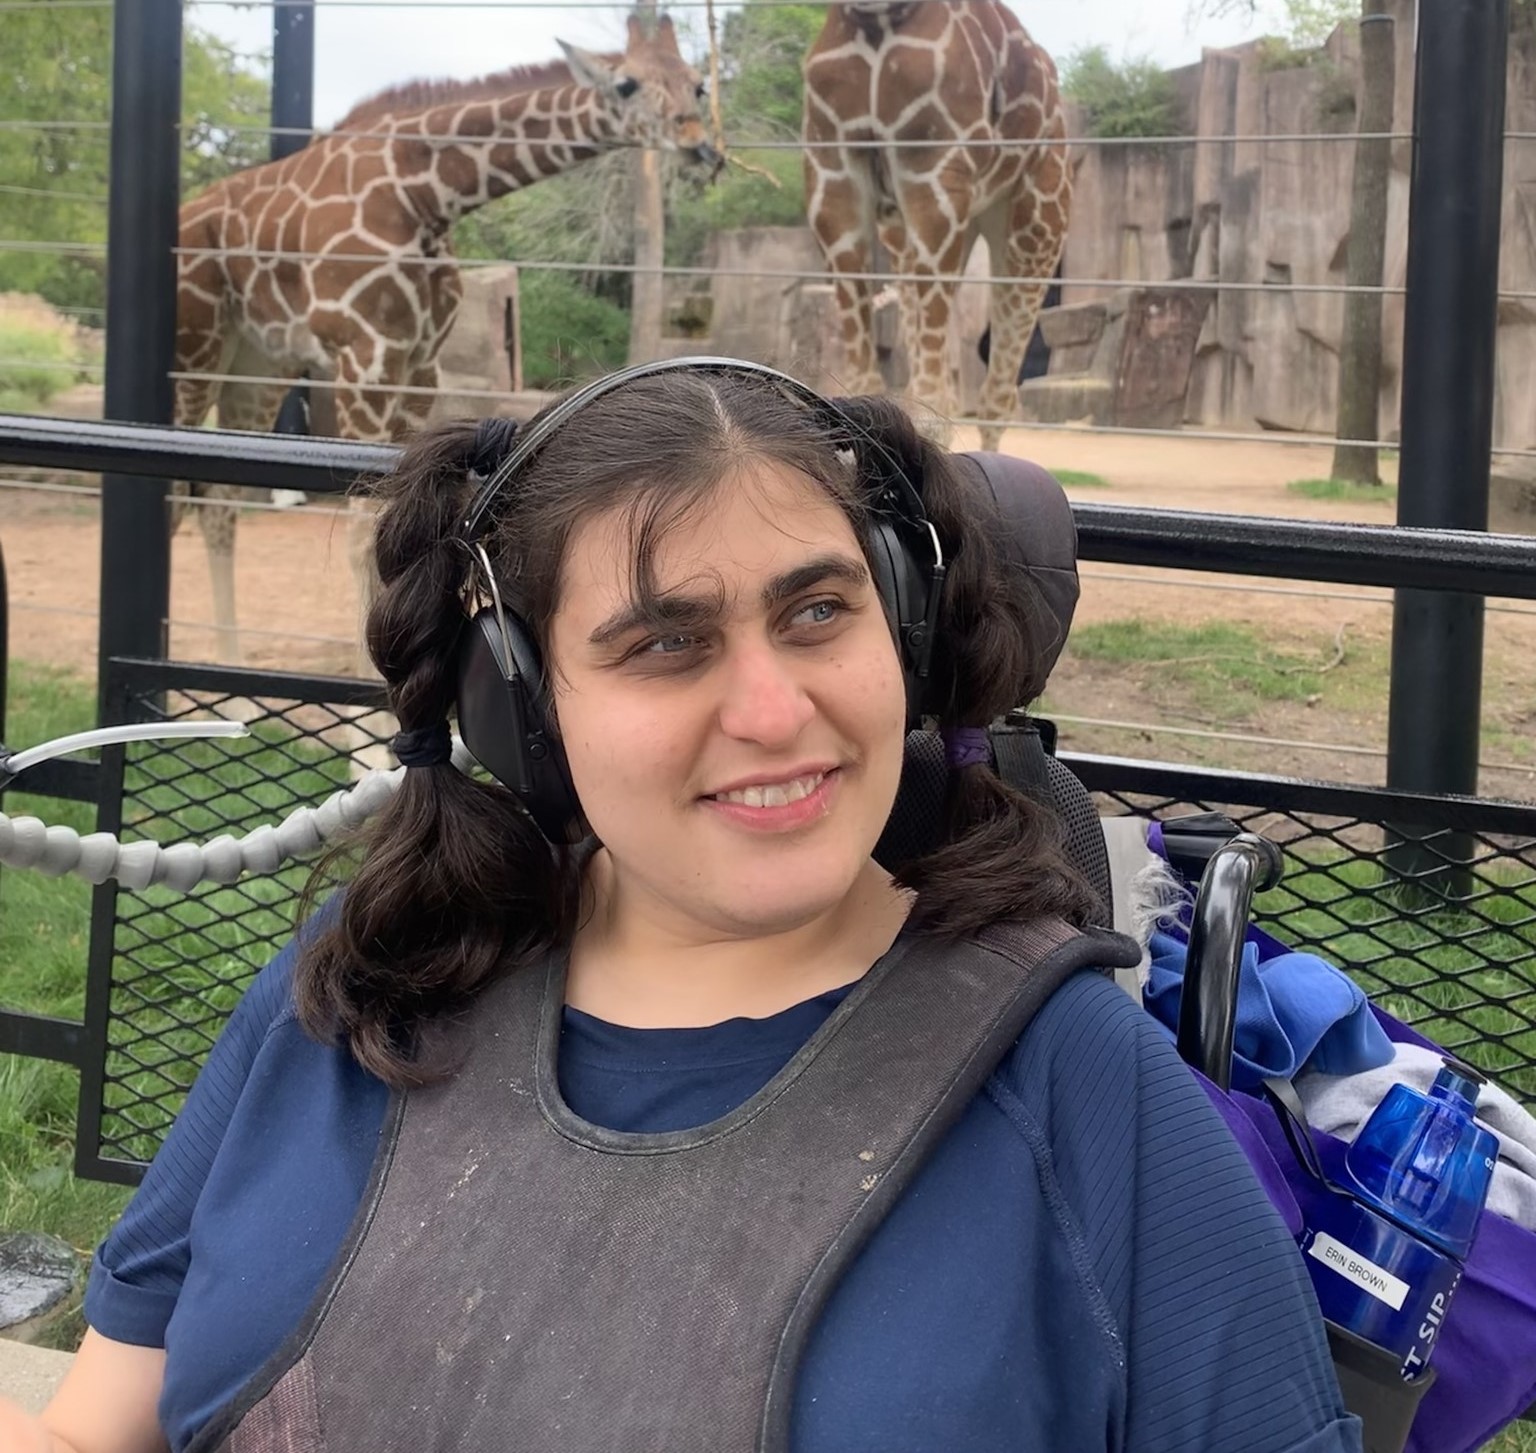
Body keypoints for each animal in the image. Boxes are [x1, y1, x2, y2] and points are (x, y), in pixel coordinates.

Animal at [172, 15, 712, 663]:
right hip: (196, 347)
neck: (428, 196)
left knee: (218, 502)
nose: (700, 143)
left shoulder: (418, 365)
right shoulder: (366, 355)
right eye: (626, 85)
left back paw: (229, 676)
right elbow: (363, 532)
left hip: (257, 361)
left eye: (698, 83)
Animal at [798, 0, 1075, 448]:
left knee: (996, 397)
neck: (875, 17)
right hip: (914, 239)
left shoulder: (935, 168)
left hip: (1038, 222)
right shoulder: (830, 173)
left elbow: (933, 407)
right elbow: (869, 386)